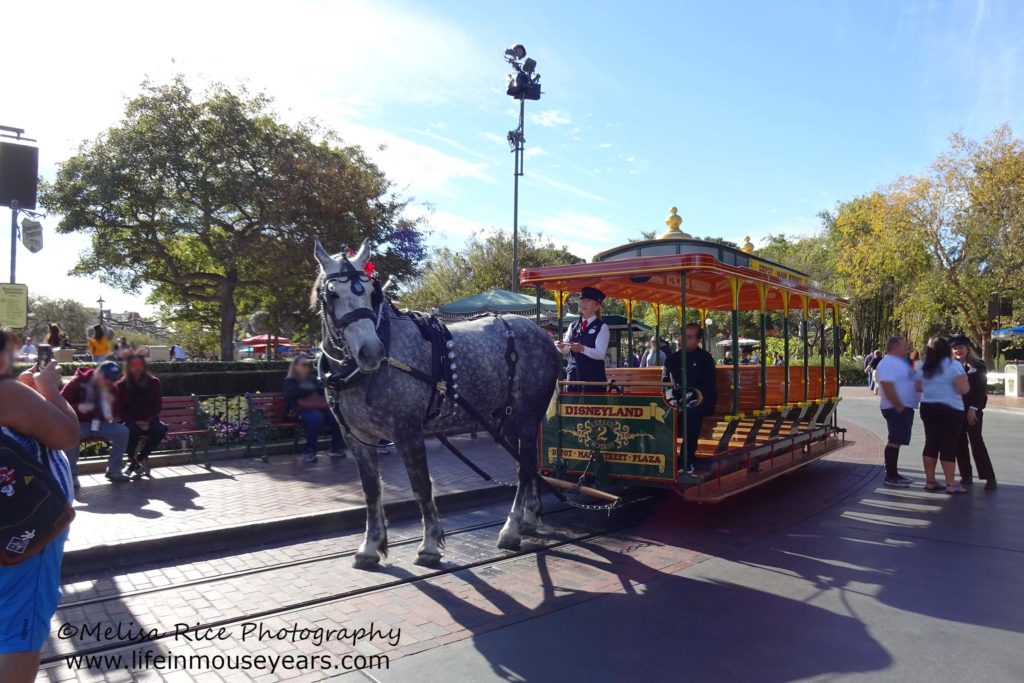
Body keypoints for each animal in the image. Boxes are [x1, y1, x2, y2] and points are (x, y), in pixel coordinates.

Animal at [315, 240, 565, 565]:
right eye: (332, 294)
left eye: (371, 293)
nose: (371, 352)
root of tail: (545, 337)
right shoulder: (356, 438)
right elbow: (371, 491)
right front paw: (370, 546)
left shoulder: (407, 431)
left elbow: (421, 485)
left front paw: (430, 544)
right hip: (510, 419)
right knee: (528, 463)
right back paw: (529, 518)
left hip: (527, 415)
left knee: (524, 471)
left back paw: (510, 530)